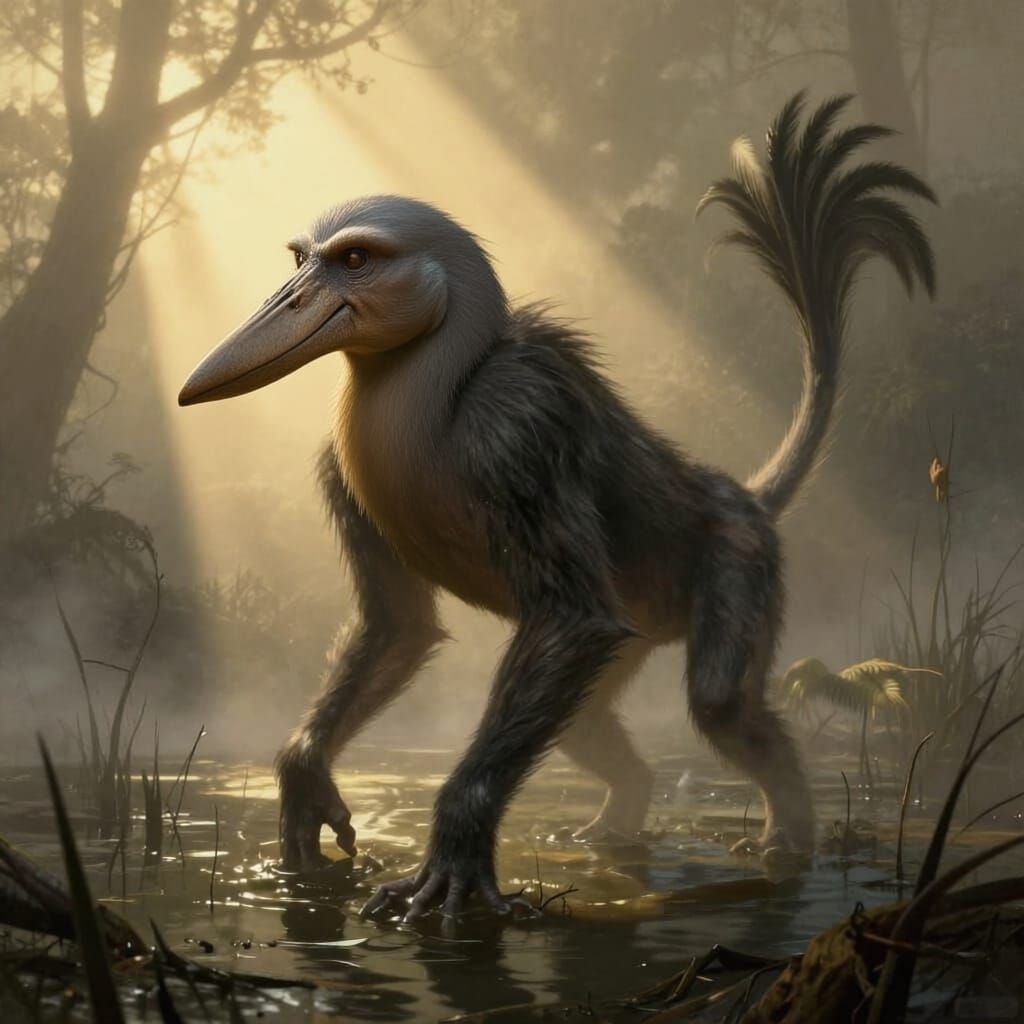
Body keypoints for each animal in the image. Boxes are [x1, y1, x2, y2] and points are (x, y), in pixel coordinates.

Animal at [178, 93, 936, 926]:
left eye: (353, 260)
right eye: (298, 261)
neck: (439, 399)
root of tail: (745, 495)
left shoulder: (518, 428)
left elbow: (572, 617)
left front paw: (451, 862)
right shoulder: (338, 473)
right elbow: (398, 627)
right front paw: (304, 779)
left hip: (739, 562)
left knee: (719, 706)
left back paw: (785, 845)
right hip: (635, 633)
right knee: (587, 722)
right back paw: (615, 830)